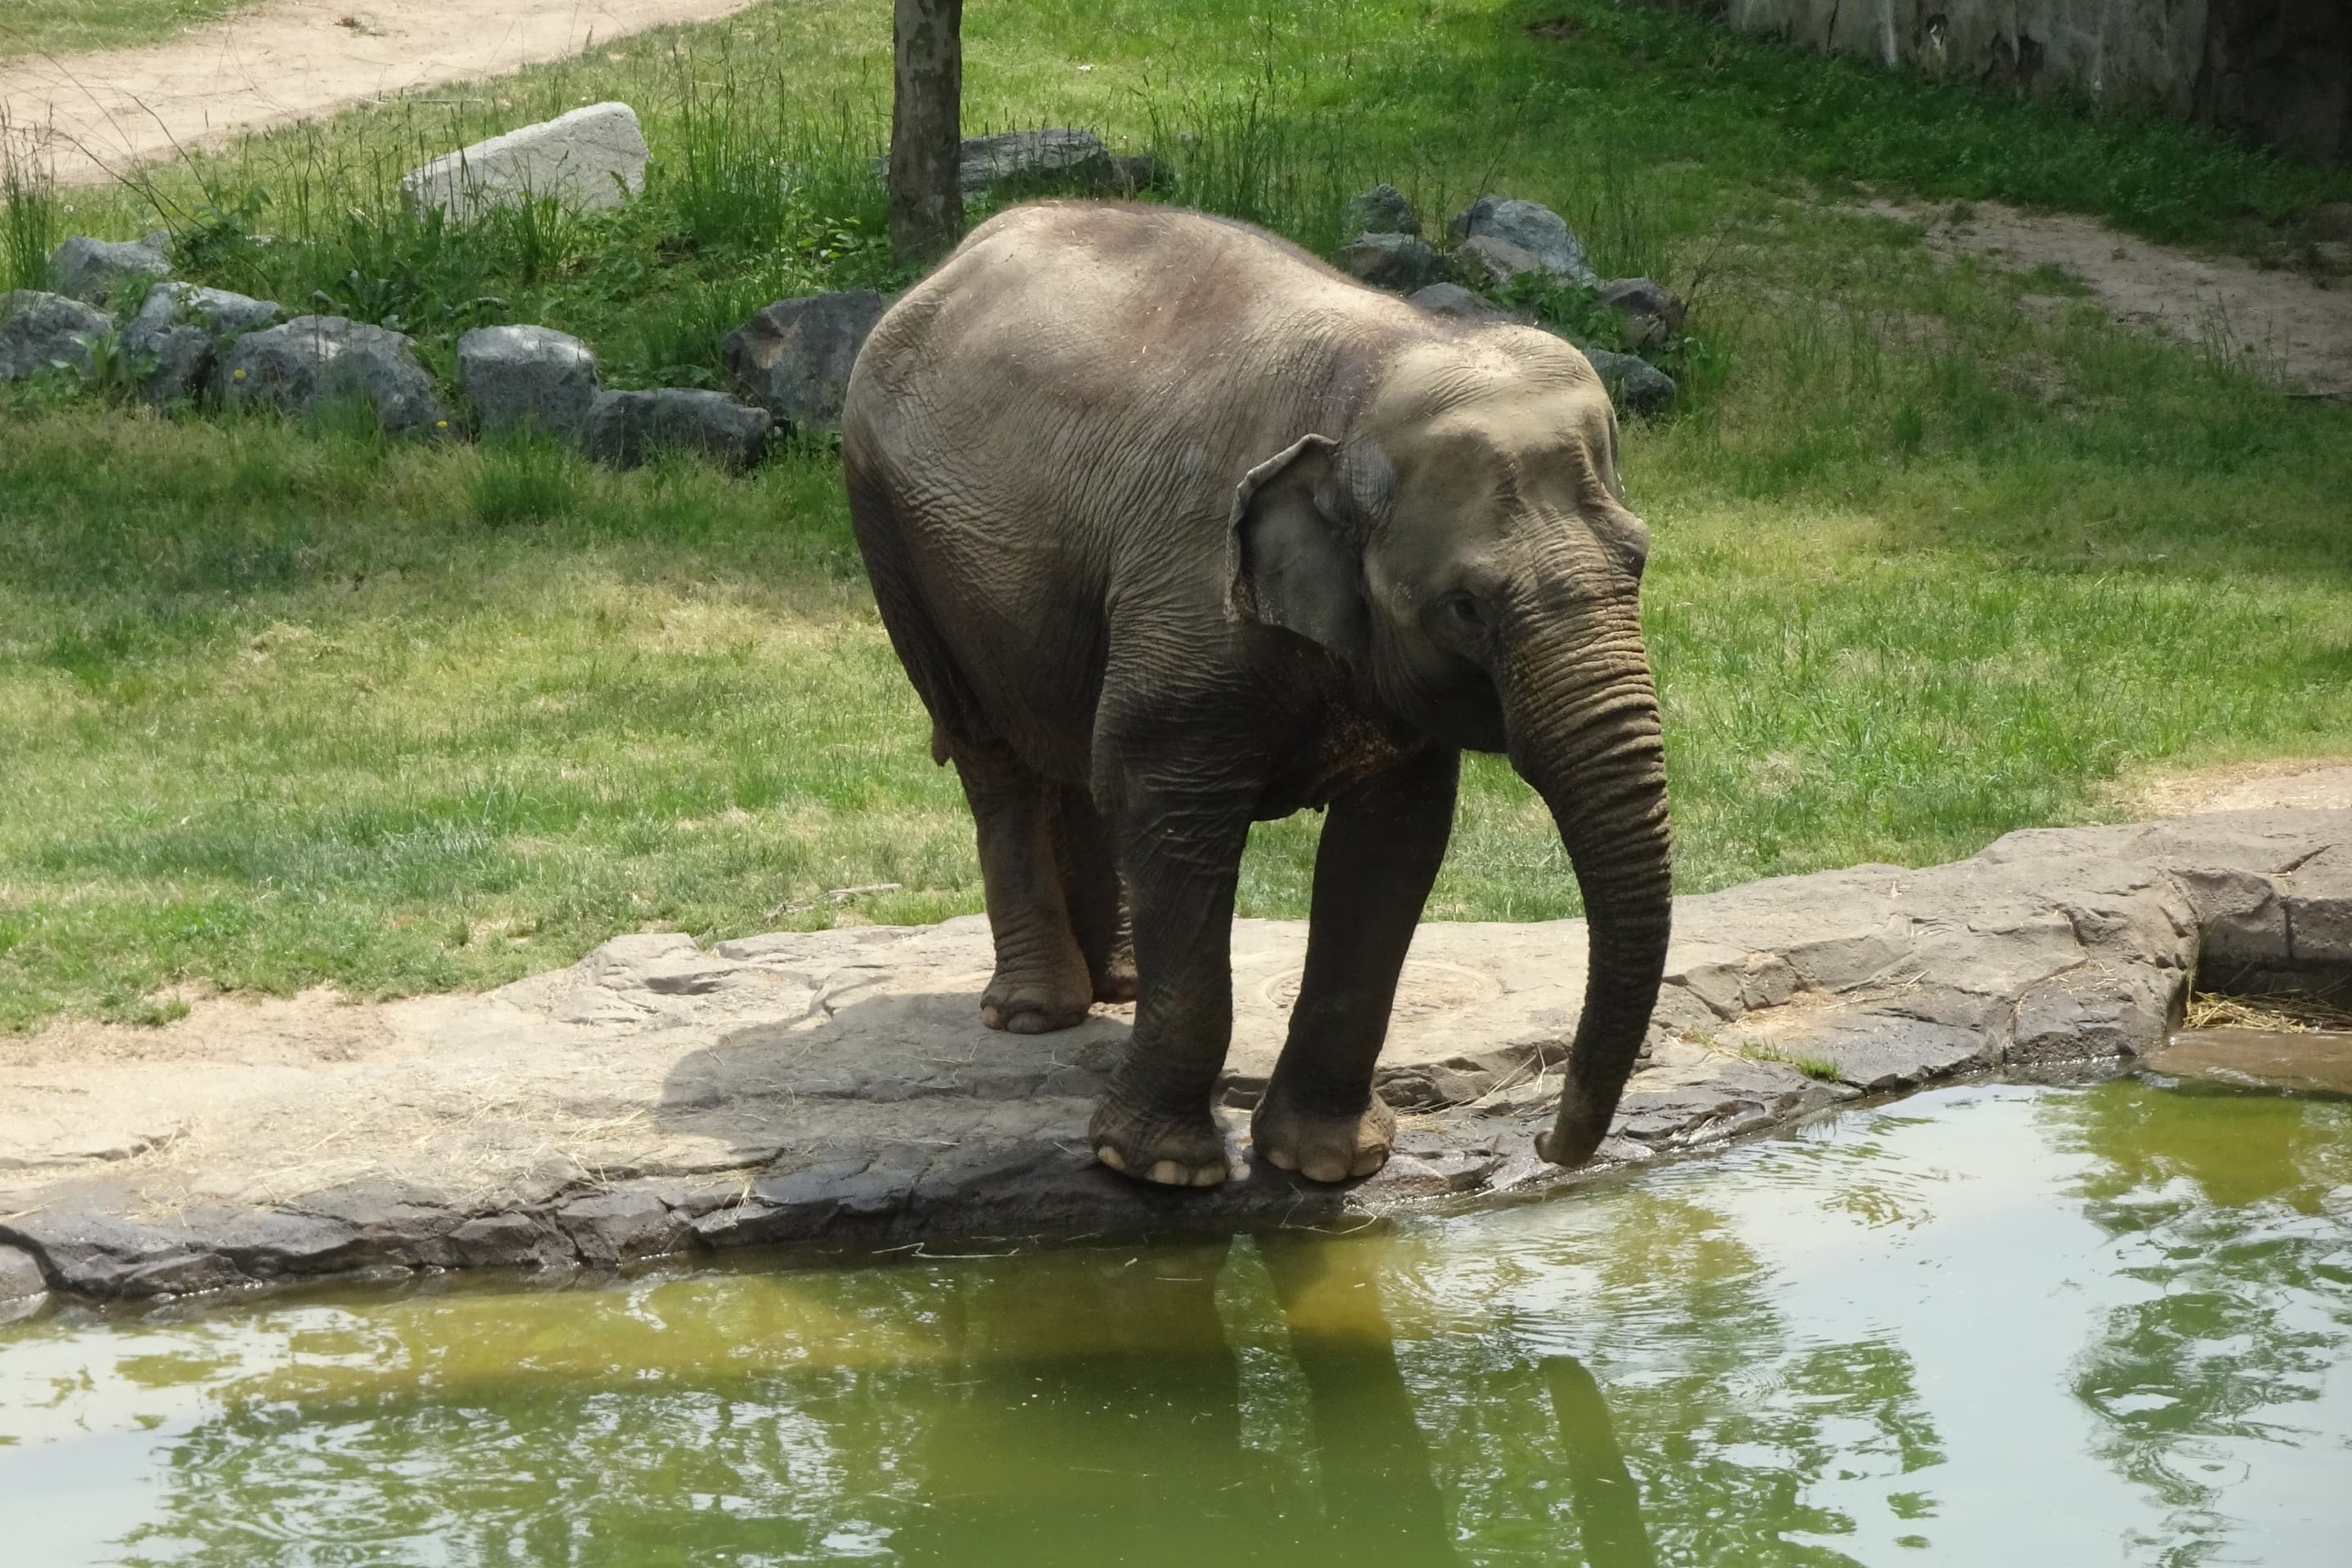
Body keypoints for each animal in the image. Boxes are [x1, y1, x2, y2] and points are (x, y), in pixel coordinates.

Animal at [840, 201, 1672, 1188]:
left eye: (1639, 560)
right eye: (1466, 606)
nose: (1550, 1146)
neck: (1380, 367)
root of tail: (959, 252)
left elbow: (1393, 843)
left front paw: (1328, 1165)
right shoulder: (1189, 592)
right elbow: (1165, 804)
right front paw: (1159, 1170)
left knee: (1076, 751)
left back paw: (1119, 983)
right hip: (892, 533)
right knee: (993, 753)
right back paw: (1036, 1011)